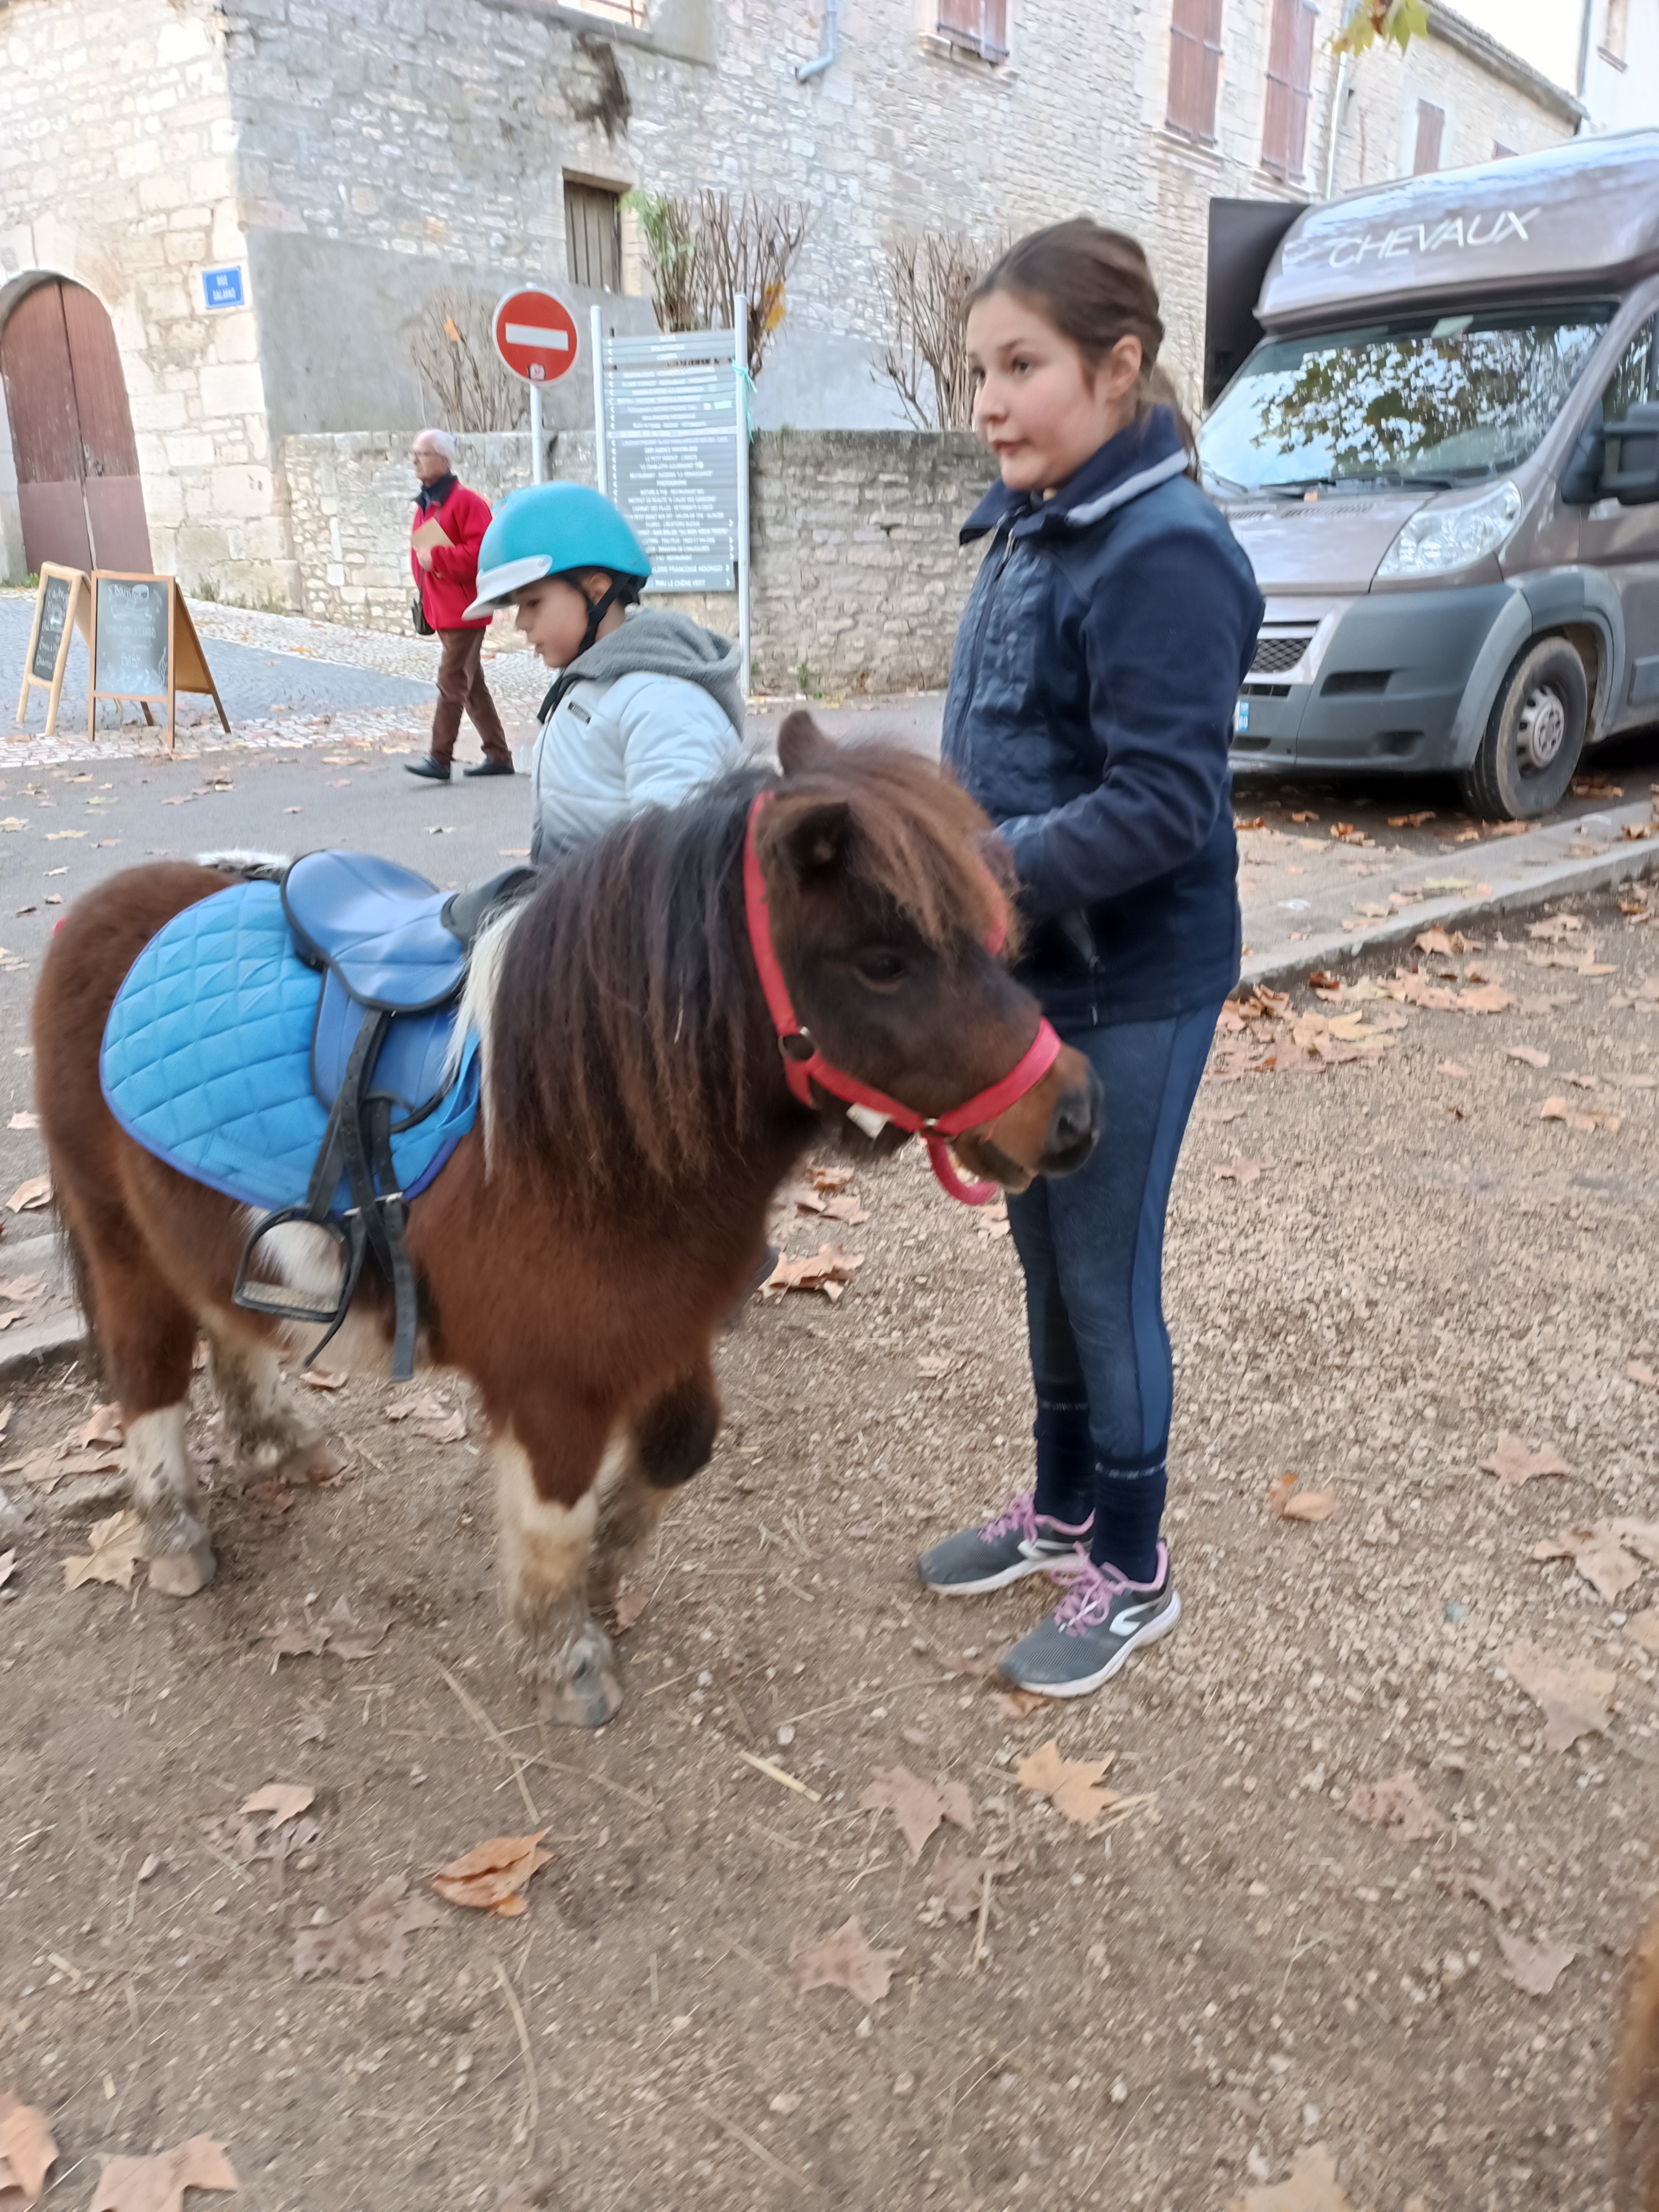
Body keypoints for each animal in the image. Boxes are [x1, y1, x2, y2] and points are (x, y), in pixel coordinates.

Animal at [32, 714, 1101, 1726]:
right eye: (883, 962)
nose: (1077, 1115)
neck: (575, 1133)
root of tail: (106, 904)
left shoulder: (666, 1329)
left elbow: (682, 1444)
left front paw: (606, 1573)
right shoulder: (553, 1379)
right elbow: (556, 1509)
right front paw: (563, 1653)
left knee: (229, 1322)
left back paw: (282, 1440)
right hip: (118, 1242)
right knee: (147, 1373)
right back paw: (176, 1534)